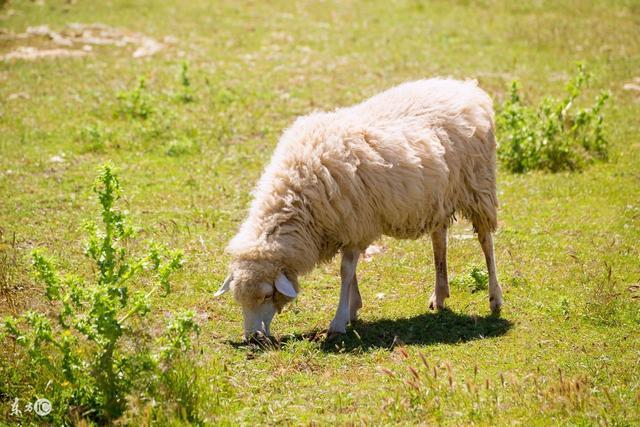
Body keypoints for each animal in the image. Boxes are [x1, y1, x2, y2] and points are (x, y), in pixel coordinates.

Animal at [216, 78, 504, 340]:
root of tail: (467, 88)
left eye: (267, 295)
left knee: (486, 241)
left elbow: (345, 272)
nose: (253, 338)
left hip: (479, 186)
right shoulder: (346, 226)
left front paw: (339, 320)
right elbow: (350, 271)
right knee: (439, 241)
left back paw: (495, 298)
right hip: (438, 197)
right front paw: (352, 310)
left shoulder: (354, 223)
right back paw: (440, 294)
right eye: (239, 300)